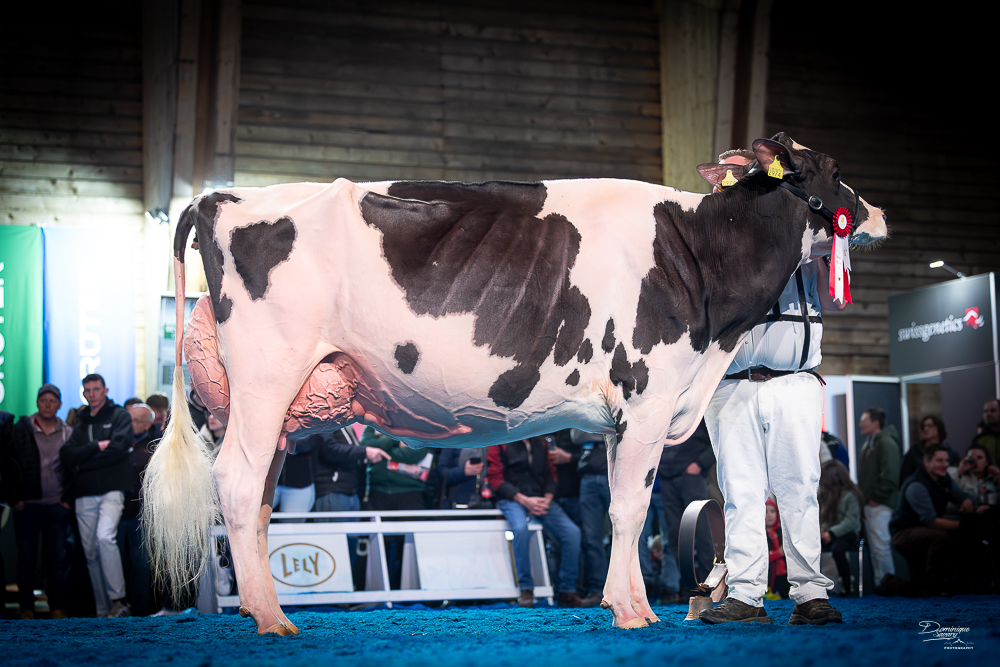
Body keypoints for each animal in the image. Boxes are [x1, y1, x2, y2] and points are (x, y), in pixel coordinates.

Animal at [143, 133, 886, 635]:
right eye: (836, 172)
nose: (878, 215)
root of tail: (218, 196)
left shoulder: (622, 416)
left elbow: (619, 508)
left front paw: (627, 602)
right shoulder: (649, 395)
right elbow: (630, 509)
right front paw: (635, 613)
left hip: (274, 401)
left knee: (258, 498)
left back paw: (263, 606)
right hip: (267, 374)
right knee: (238, 481)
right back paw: (271, 619)